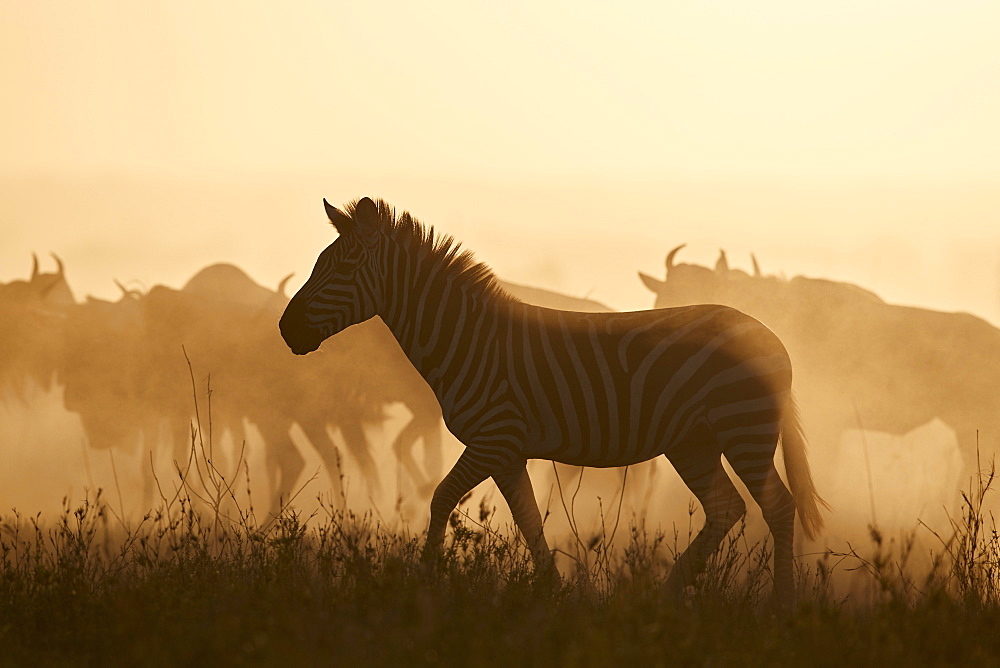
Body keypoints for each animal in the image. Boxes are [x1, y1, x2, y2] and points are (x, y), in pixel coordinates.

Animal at [278, 197, 824, 600]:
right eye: (319, 265)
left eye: (342, 268)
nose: (286, 329)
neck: (467, 339)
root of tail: (769, 334)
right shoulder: (506, 451)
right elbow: (528, 520)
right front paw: (554, 593)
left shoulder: (493, 439)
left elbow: (441, 499)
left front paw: (425, 584)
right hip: (694, 441)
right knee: (726, 508)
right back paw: (664, 595)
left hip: (742, 428)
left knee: (778, 506)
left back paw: (782, 606)